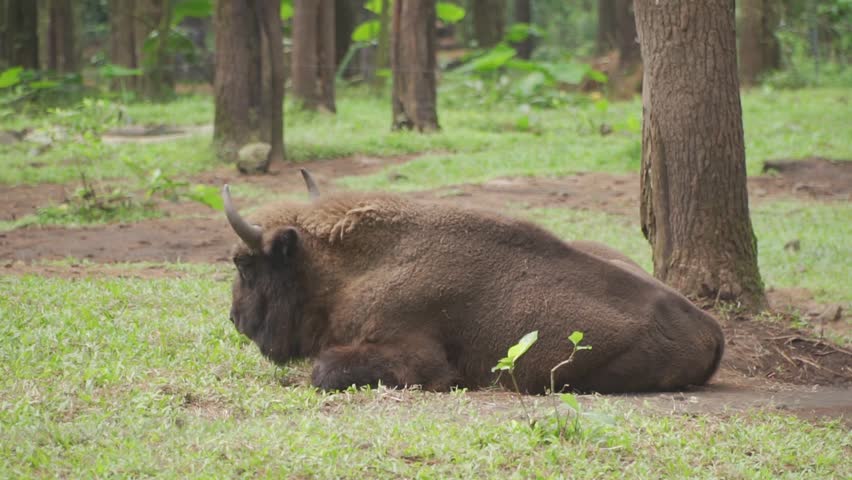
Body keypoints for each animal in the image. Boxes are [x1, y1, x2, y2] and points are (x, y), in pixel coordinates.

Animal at [222, 171, 724, 394]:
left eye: (245, 265)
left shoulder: (416, 359)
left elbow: (325, 370)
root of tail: (711, 328)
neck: (354, 270)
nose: (234, 319)